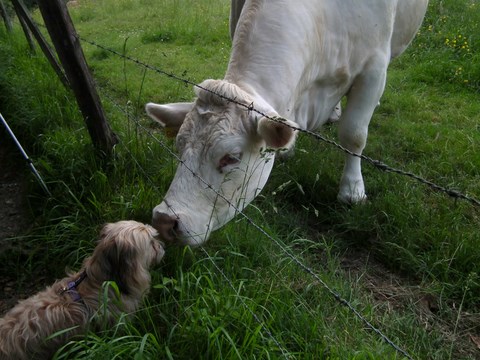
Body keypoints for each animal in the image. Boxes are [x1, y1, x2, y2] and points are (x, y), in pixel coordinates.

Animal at [146, 0, 428, 245]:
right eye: (179, 147)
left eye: (231, 157)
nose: (164, 221)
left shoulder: (374, 69)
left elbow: (354, 134)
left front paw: (352, 190)